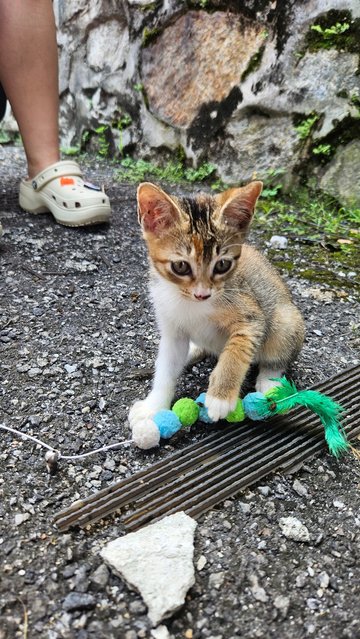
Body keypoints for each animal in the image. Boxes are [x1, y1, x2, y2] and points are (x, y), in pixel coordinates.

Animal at [129, 182, 304, 428]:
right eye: (181, 266)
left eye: (222, 265)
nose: (203, 294)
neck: (188, 302)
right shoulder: (172, 328)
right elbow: (167, 367)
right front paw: (153, 406)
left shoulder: (251, 315)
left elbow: (239, 347)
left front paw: (220, 396)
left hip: (285, 319)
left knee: (279, 349)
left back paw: (270, 381)